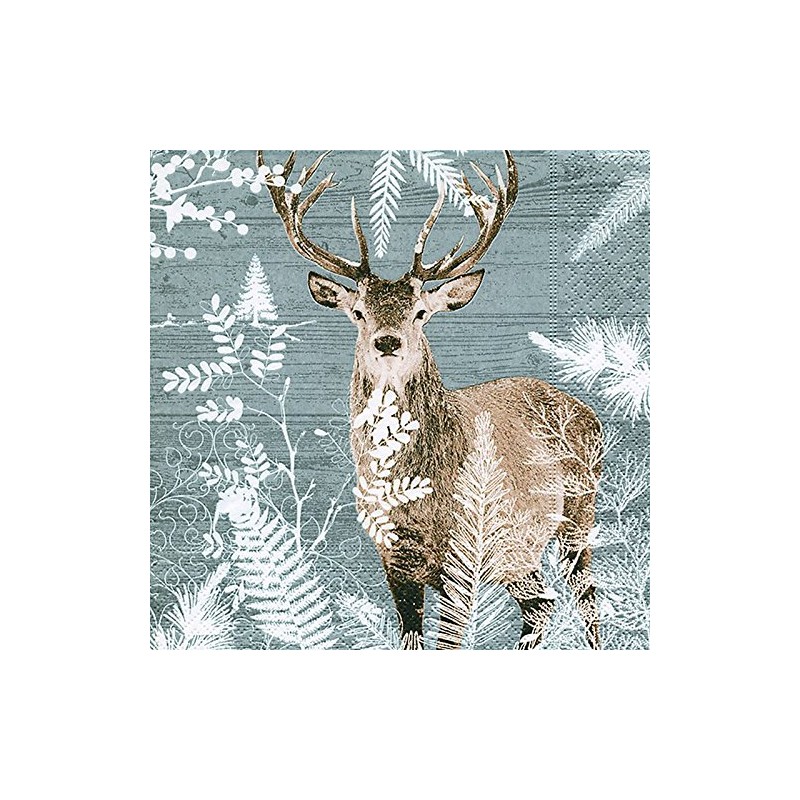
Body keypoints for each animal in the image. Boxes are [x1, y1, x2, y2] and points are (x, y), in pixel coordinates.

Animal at [256, 149, 603, 650]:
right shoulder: (395, 560)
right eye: (358, 312)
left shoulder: (464, 557)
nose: (387, 342)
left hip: (577, 512)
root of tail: (589, 412)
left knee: (585, 598)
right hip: (520, 552)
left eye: (420, 312)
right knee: (541, 605)